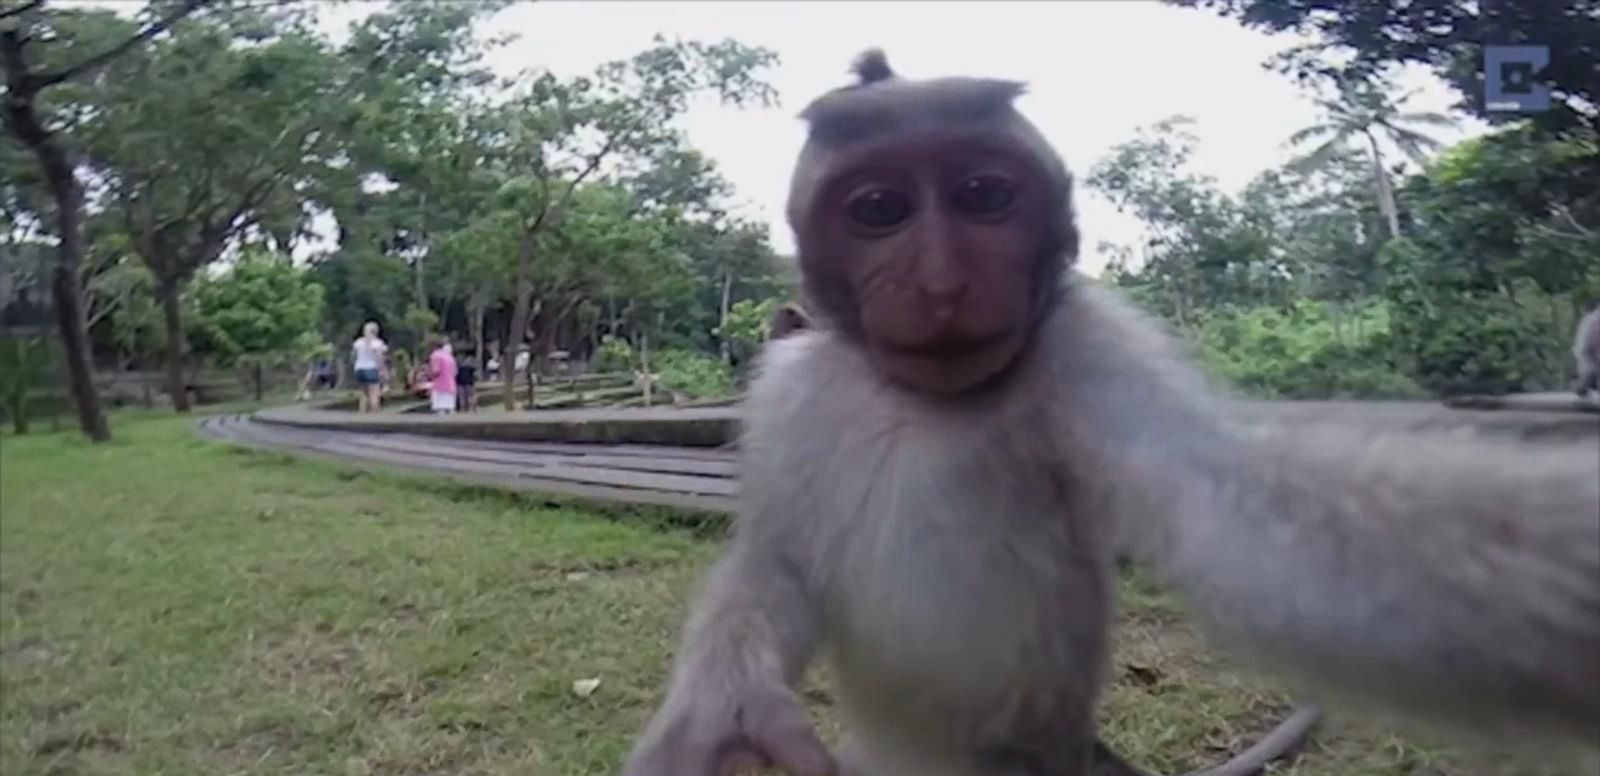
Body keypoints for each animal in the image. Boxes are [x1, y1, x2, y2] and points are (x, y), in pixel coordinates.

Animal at [620, 51, 1600, 771]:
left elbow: (1252, 523)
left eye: (983, 195)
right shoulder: (790, 389)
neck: (926, 400)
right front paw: (725, 715)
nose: (940, 283)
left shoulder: (1092, 354)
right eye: (880, 208)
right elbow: (776, 558)